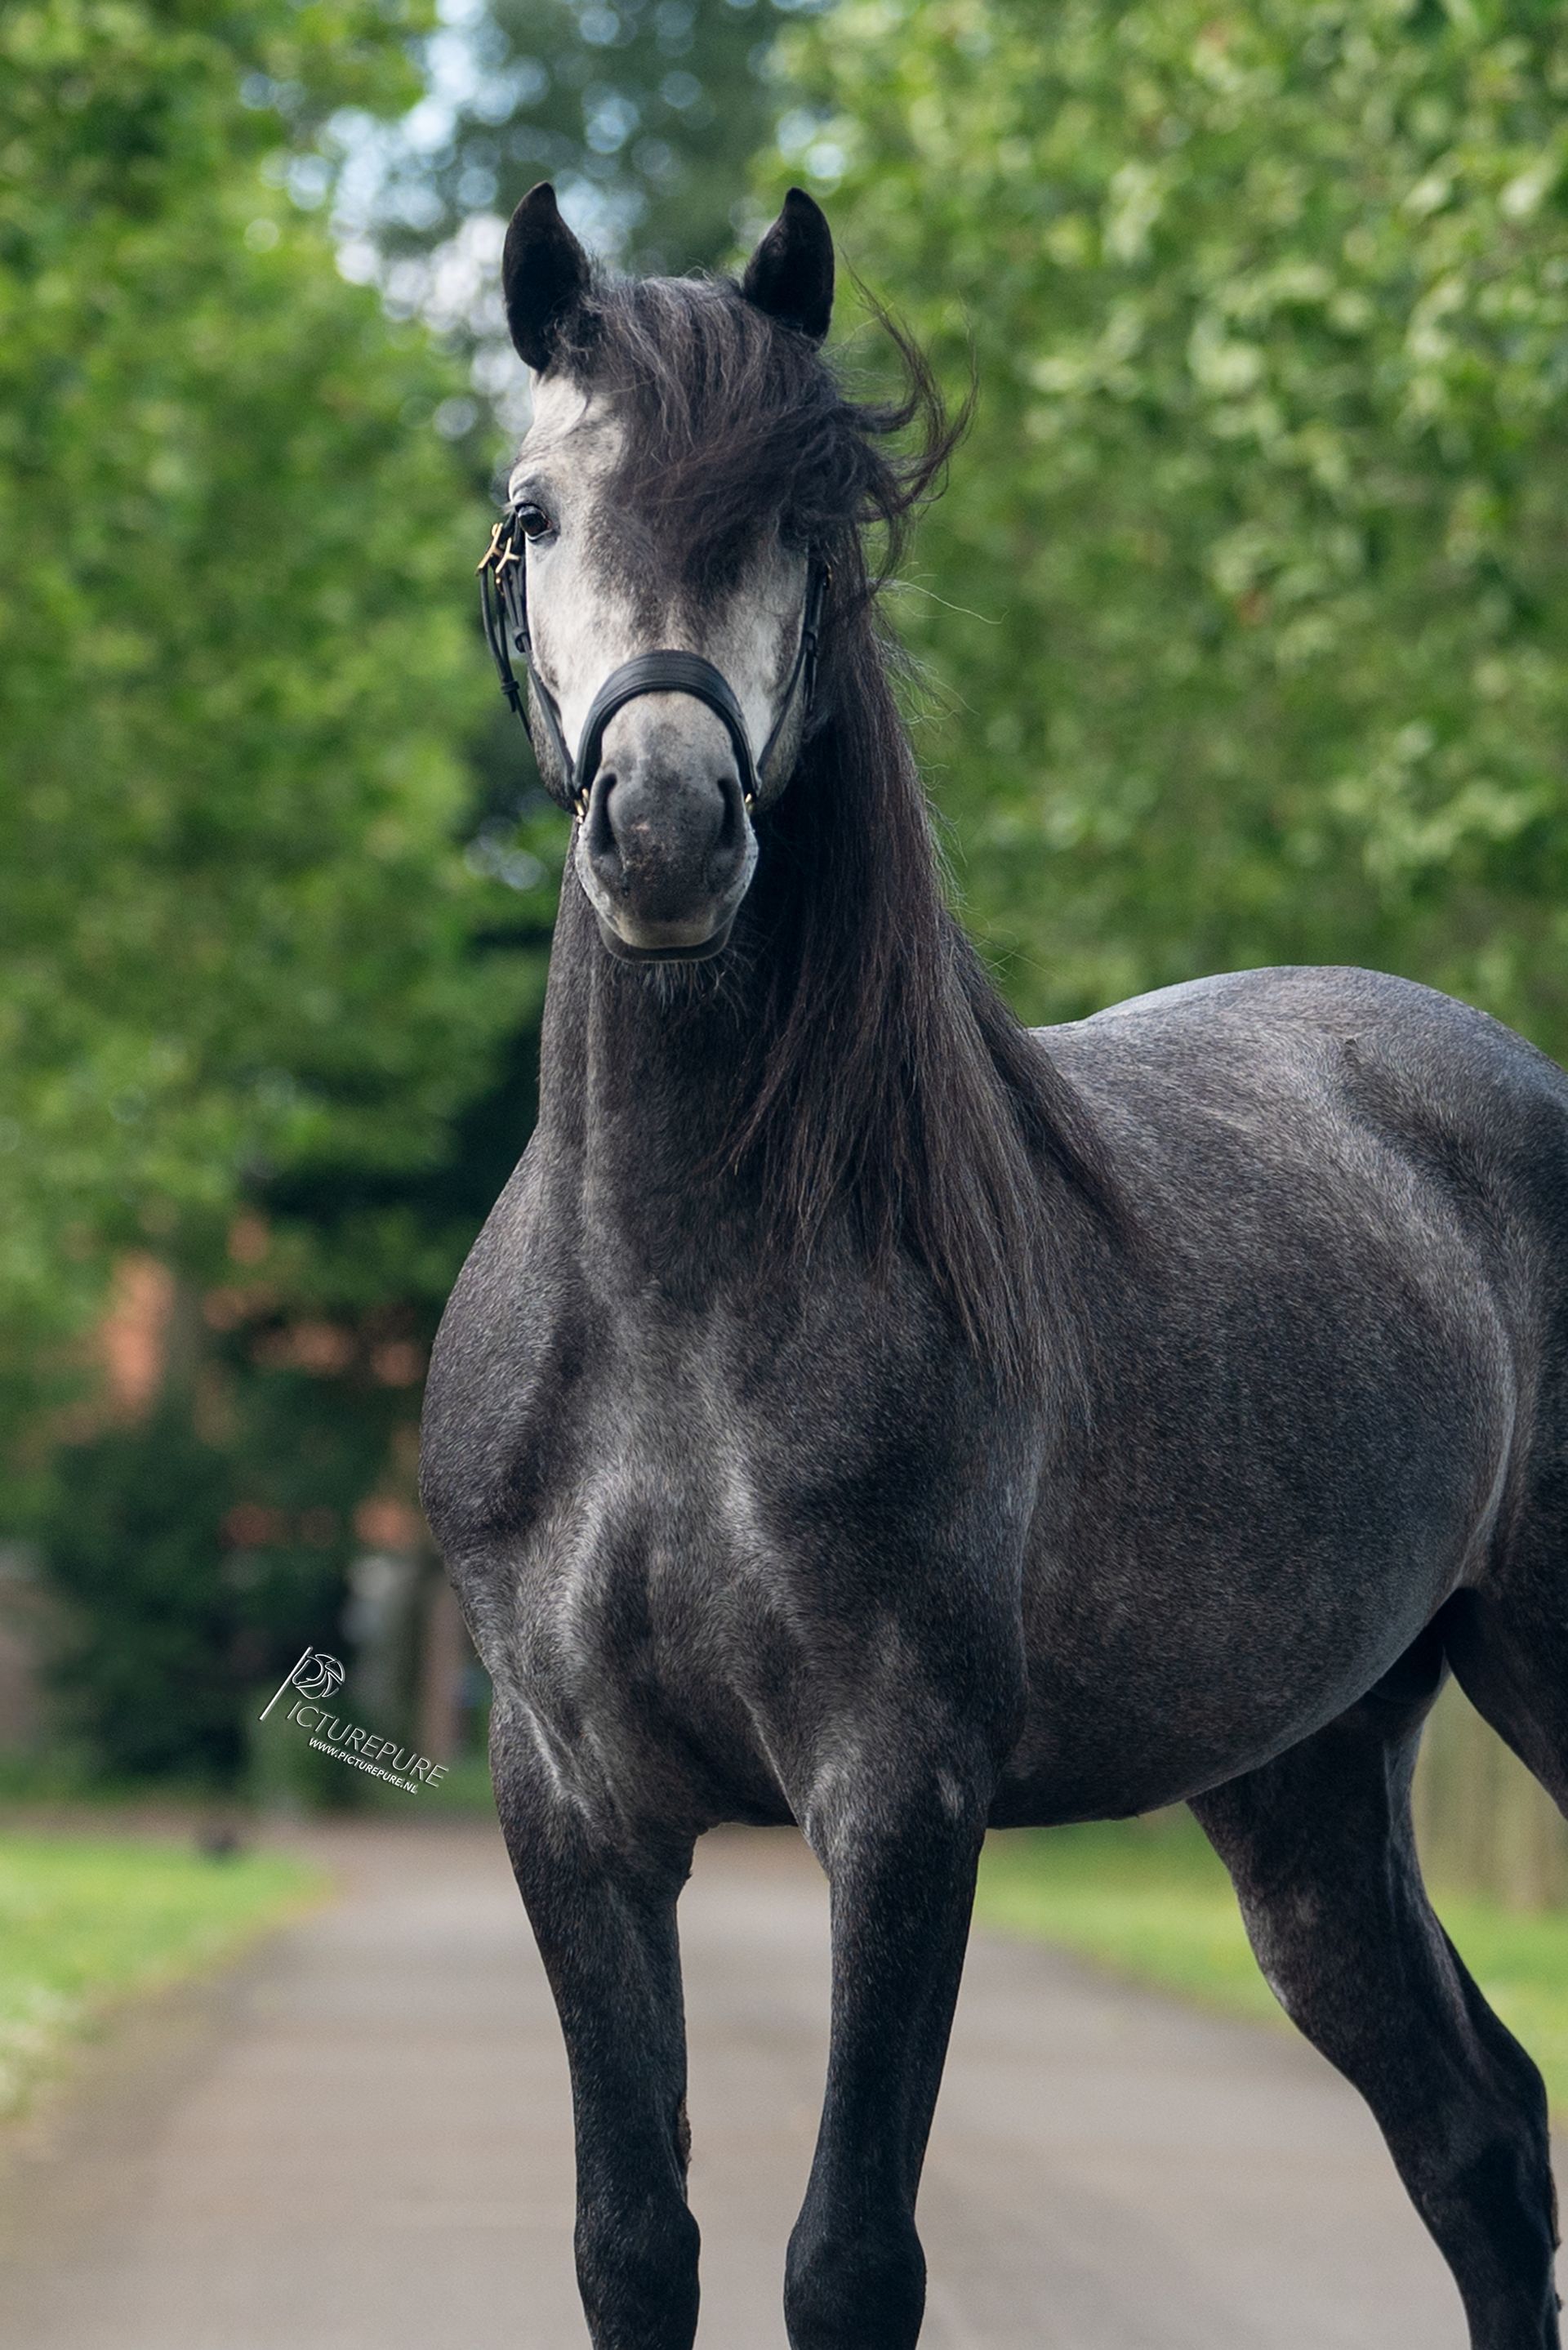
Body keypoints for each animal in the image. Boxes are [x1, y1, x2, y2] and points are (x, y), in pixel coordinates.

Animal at [420, 183, 1568, 2350]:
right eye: (533, 510)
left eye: (806, 517)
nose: (669, 833)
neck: (670, 1303)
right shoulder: (575, 1804)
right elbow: (634, 2240)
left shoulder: (900, 1796)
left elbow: (849, 2257)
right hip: (1302, 1782)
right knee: (1475, 2129)